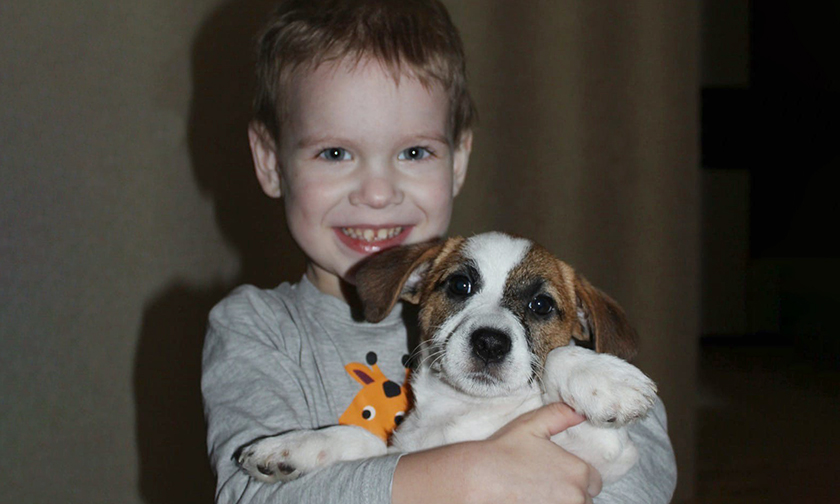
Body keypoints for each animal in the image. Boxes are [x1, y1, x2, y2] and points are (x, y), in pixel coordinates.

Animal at [236, 232, 657, 484]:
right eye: (460, 285)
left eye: (541, 305)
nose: (490, 343)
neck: (465, 409)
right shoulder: (403, 454)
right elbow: (362, 438)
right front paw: (296, 446)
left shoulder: (605, 457)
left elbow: (558, 357)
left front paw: (607, 381)